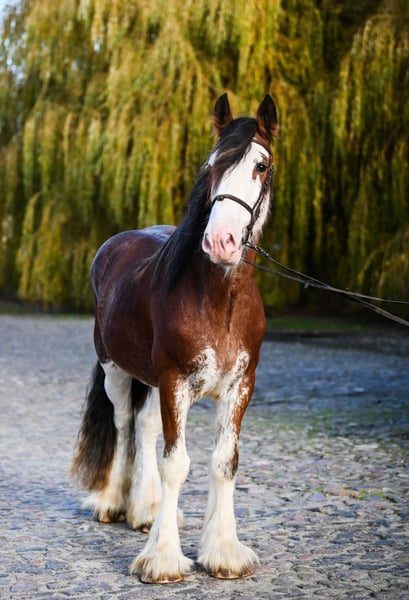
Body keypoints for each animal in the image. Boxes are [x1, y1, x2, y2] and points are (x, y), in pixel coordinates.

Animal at [72, 93, 278, 584]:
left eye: (261, 165)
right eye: (212, 165)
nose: (222, 241)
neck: (219, 300)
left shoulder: (240, 386)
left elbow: (224, 462)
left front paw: (223, 551)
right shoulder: (175, 382)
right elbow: (176, 464)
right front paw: (162, 559)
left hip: (151, 381)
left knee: (145, 427)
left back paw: (145, 509)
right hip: (116, 370)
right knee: (124, 424)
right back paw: (113, 503)